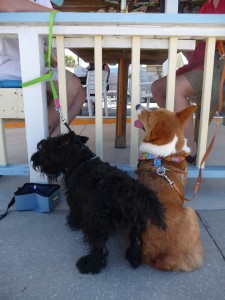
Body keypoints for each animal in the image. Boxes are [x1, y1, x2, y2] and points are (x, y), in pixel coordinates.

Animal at [30, 131, 165, 274]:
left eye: (44, 147)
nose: (33, 158)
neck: (79, 160)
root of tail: (129, 191)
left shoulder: (74, 200)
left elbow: (75, 213)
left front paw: (73, 223)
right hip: (137, 223)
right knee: (135, 242)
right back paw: (133, 257)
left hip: (96, 223)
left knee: (100, 248)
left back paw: (88, 264)